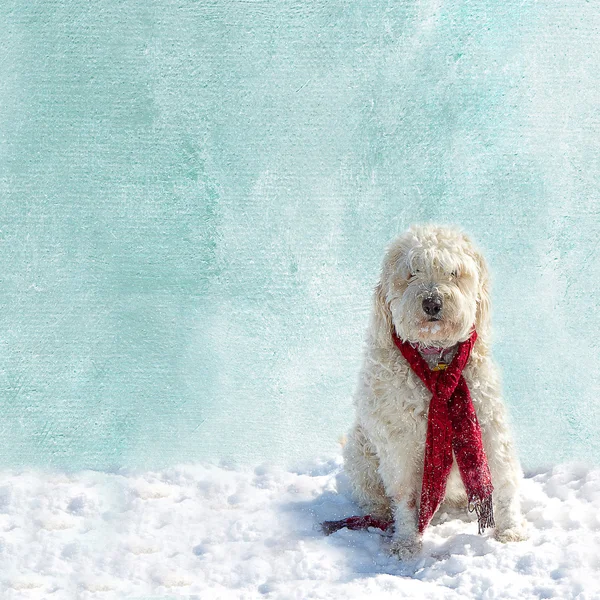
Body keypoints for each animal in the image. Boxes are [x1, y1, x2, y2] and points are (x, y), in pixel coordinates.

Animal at [344, 224, 528, 556]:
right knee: (375, 499)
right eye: (412, 272)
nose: (432, 303)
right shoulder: (398, 442)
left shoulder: (488, 424)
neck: (437, 363)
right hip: (359, 449)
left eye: (453, 272)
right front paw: (406, 542)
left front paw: (510, 532)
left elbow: (503, 482)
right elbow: (404, 496)